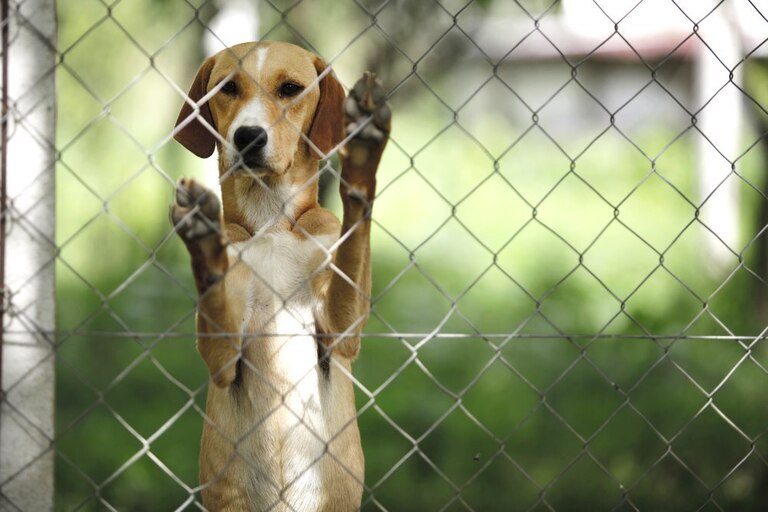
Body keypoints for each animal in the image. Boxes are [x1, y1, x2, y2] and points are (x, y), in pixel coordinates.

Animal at [172, 42, 392, 510]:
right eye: (227, 87)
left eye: (290, 88)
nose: (248, 137)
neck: (270, 219)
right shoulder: (222, 358)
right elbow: (214, 293)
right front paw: (204, 241)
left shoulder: (341, 330)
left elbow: (353, 234)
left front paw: (363, 155)